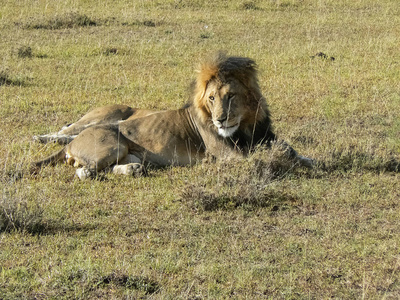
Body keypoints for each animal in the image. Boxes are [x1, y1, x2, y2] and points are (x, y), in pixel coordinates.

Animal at [32, 52, 312, 179]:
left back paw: (133, 169)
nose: (220, 119)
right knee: (83, 170)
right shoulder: (228, 156)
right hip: (110, 143)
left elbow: (291, 151)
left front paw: (307, 159)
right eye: (212, 98)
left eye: (231, 95)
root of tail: (73, 143)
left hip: (125, 151)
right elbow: (265, 158)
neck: (244, 126)